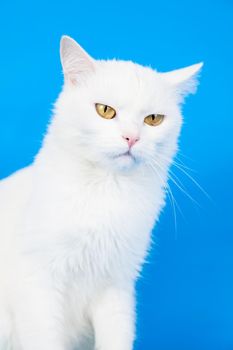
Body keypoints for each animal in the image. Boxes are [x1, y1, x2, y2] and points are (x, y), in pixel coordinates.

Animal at [0, 36, 202, 350]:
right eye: (105, 111)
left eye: (153, 119)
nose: (132, 138)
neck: (107, 191)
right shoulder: (38, 285)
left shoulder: (116, 289)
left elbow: (117, 338)